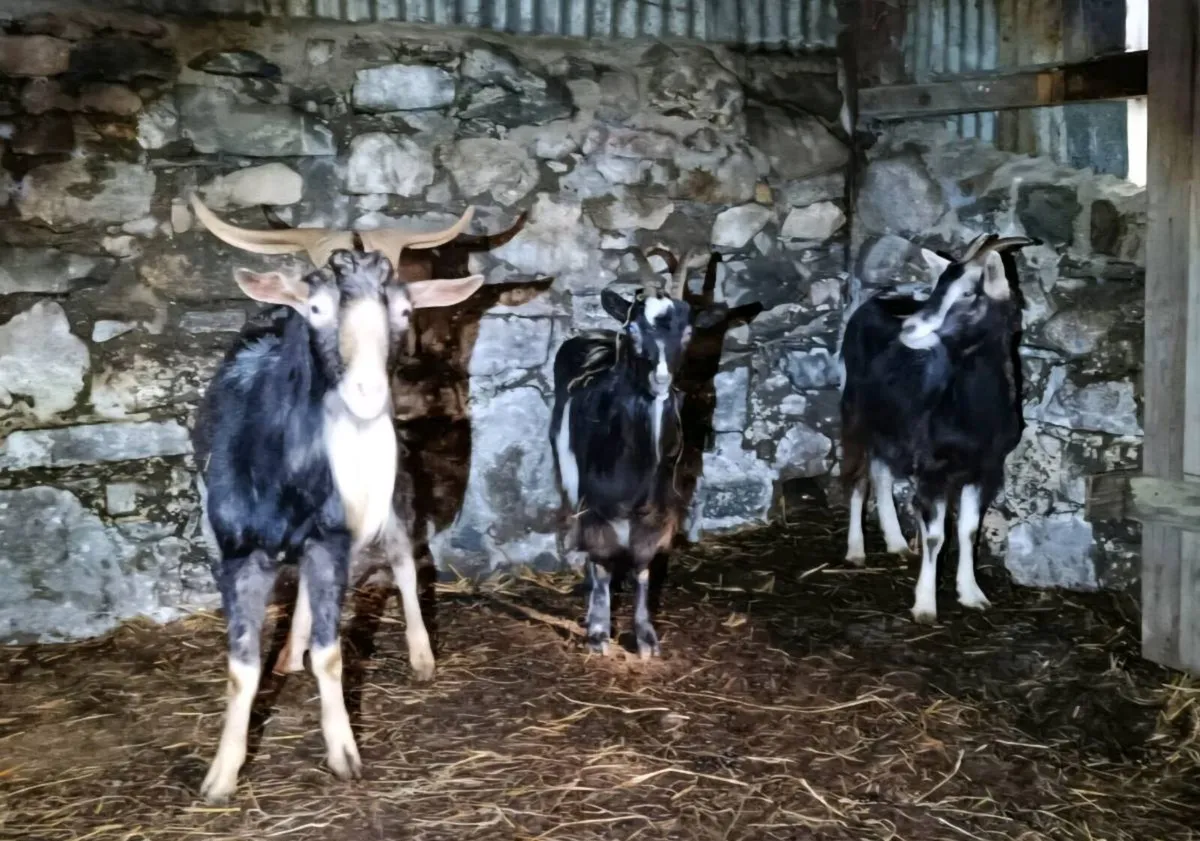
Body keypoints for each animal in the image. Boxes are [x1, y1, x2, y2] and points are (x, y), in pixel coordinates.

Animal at [189, 197, 484, 804]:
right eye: (316, 308)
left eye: (403, 311)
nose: (369, 395)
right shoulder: (236, 551)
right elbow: (240, 666)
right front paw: (221, 778)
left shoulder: (333, 538)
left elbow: (332, 653)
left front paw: (344, 754)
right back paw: (287, 654)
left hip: (391, 494)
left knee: (403, 558)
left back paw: (421, 655)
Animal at [550, 251, 753, 657]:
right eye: (631, 331)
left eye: (688, 332)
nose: (661, 379)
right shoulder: (594, 502)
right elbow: (600, 561)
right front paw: (599, 632)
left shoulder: (659, 508)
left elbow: (644, 566)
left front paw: (645, 637)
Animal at [839, 234, 1035, 624]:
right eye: (937, 286)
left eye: (968, 294)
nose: (909, 328)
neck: (973, 415)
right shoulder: (933, 468)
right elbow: (935, 537)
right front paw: (926, 605)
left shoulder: (985, 469)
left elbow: (969, 530)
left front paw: (972, 594)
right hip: (855, 411)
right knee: (858, 477)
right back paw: (856, 551)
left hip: (890, 424)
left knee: (881, 471)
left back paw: (896, 542)